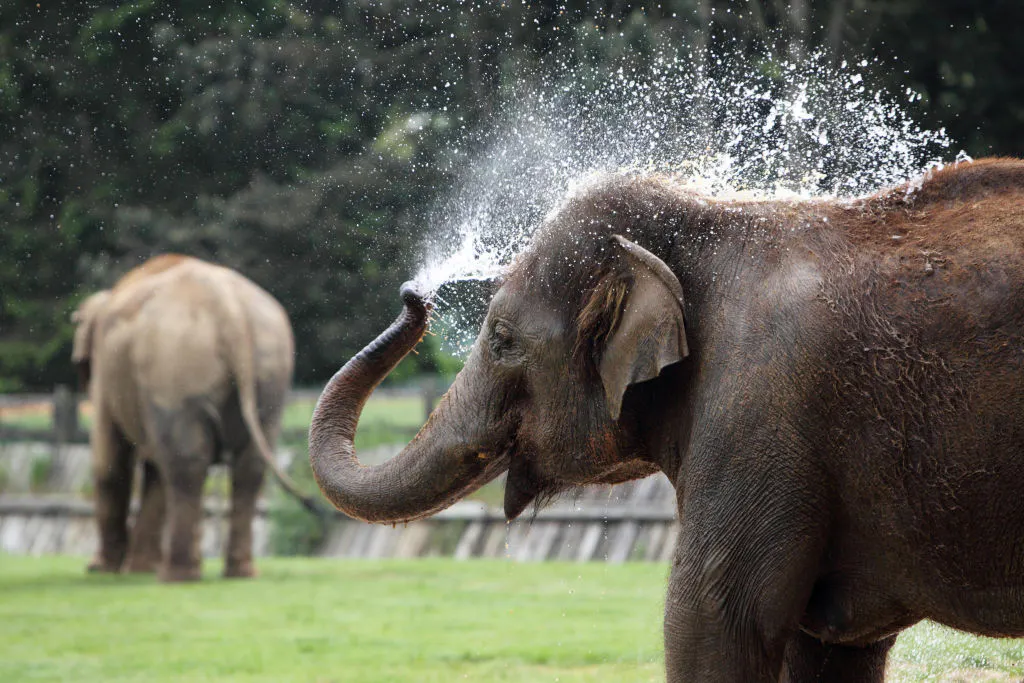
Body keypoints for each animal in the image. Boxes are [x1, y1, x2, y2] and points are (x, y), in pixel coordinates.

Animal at [73, 254, 317, 582]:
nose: (95, 566)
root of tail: (228, 308)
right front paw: (136, 569)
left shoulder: (107, 373)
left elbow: (109, 462)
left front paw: (102, 569)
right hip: (270, 368)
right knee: (248, 466)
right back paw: (236, 573)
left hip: (175, 364)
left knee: (183, 462)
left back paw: (175, 576)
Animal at [309, 157, 1024, 681]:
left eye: (503, 340)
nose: (415, 295)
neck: (711, 216)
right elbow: (825, 649)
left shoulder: (759, 416)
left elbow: (710, 623)